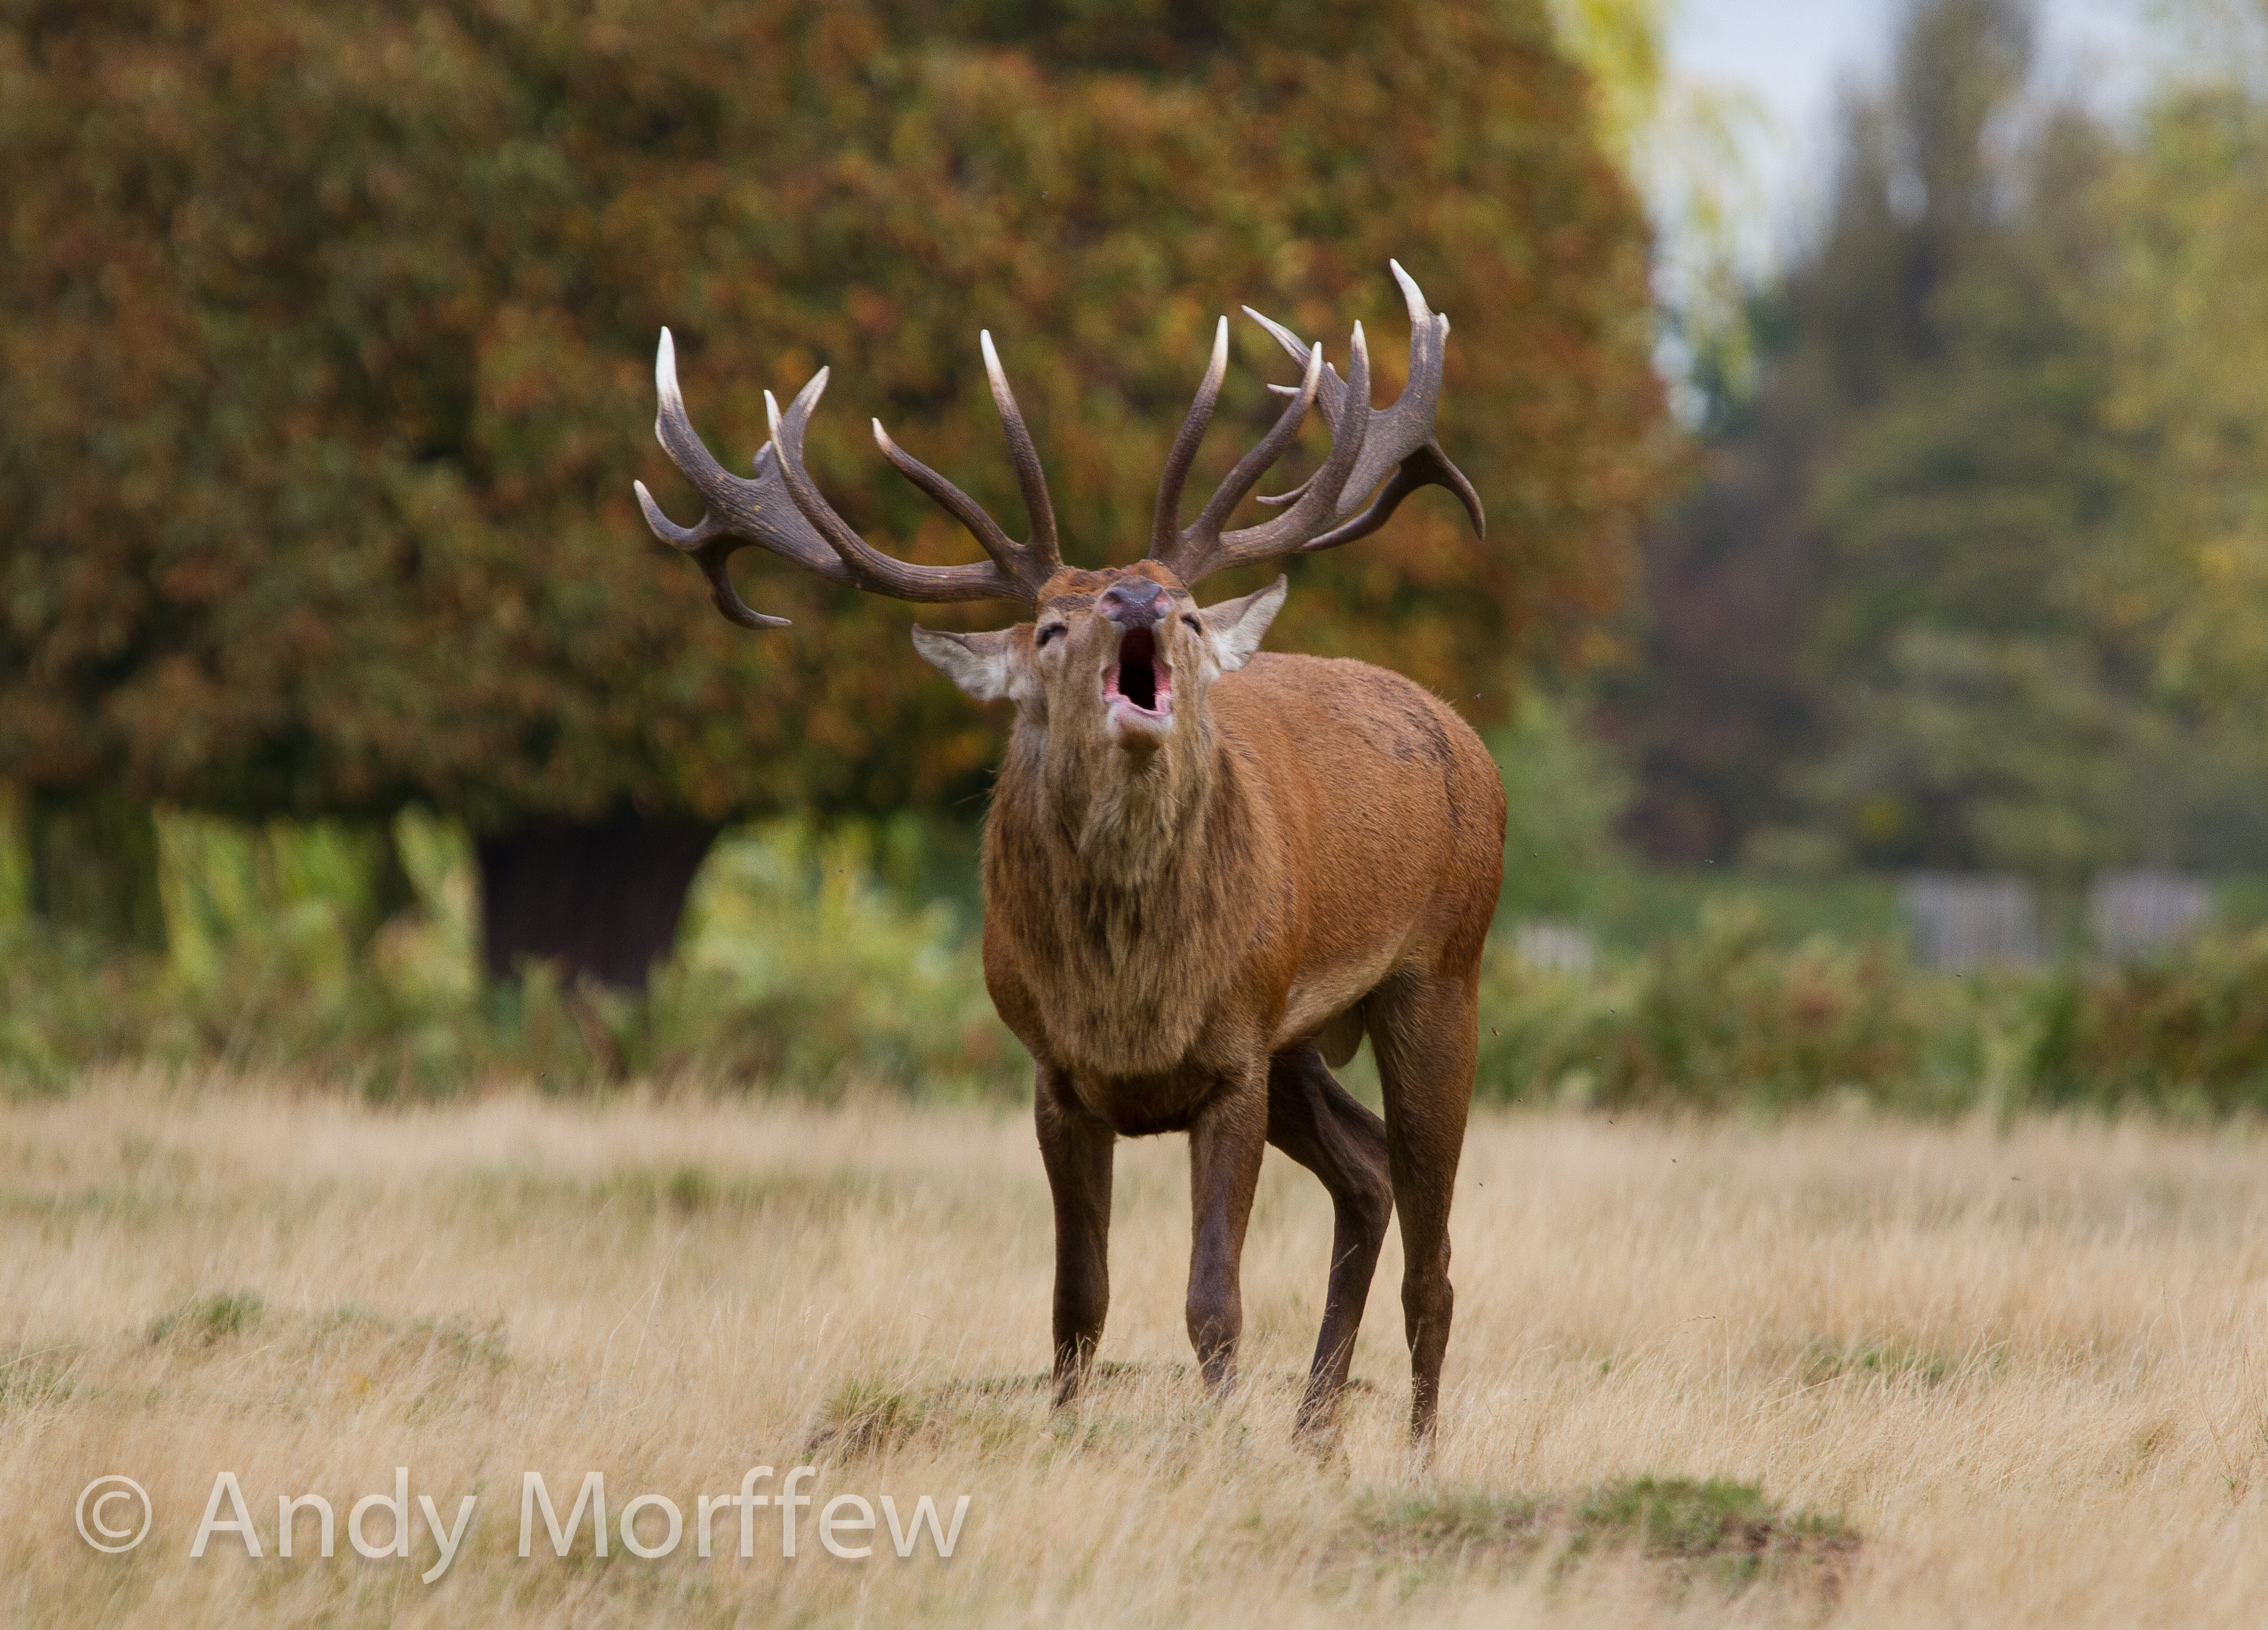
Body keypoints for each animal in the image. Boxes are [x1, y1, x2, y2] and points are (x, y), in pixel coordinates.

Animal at [630, 264, 1505, 1441]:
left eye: (1188, 611)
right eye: (1049, 625)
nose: (1139, 599)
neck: (1128, 1001)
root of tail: (1465, 734)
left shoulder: (1235, 1055)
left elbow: (1212, 1297)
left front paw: (1217, 1439)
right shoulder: (1054, 1070)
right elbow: (1076, 1299)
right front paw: (1069, 1434)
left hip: (1440, 972)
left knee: (1434, 1252)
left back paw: (1412, 1452)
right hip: (1304, 1038)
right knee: (1367, 1172)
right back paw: (1313, 1433)